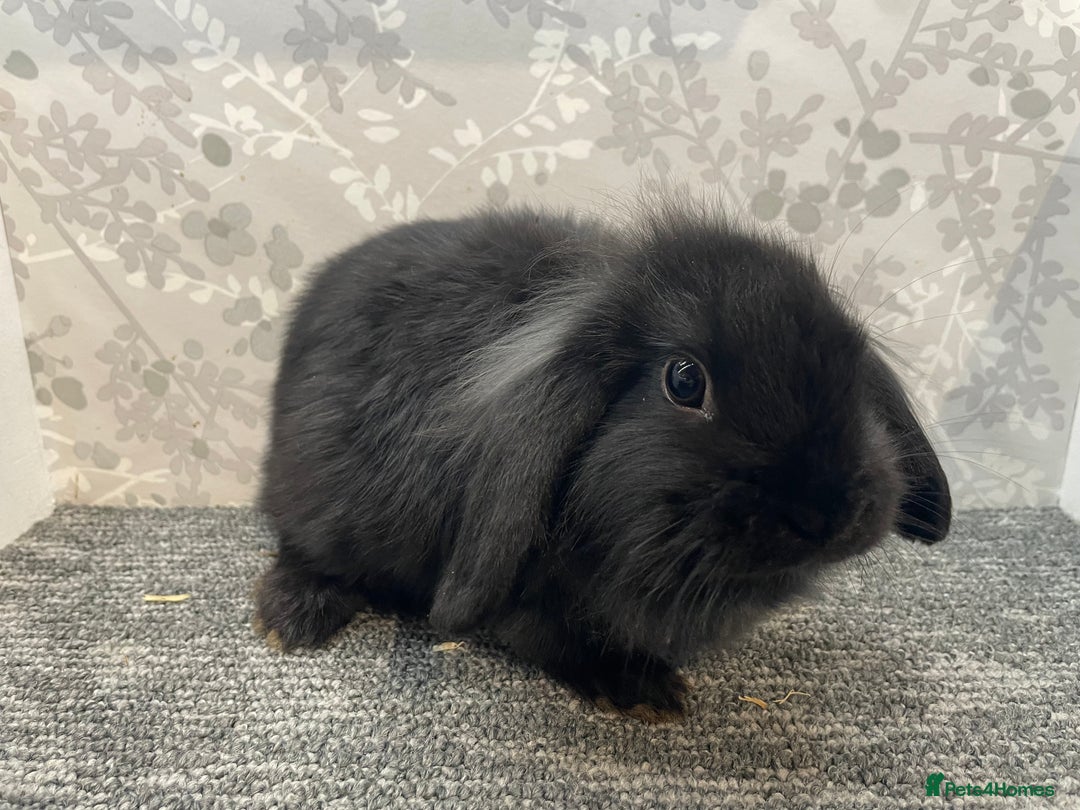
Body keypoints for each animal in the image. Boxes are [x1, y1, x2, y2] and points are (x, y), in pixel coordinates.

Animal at [252, 195, 951, 722]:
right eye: (684, 381)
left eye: (852, 365)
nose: (827, 513)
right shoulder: (527, 597)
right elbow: (554, 637)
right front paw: (647, 693)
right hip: (316, 497)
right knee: (299, 543)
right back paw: (293, 617)